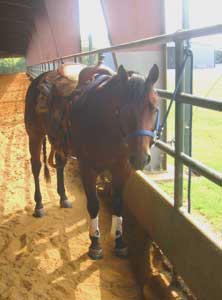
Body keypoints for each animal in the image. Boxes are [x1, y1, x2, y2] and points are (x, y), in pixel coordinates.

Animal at [24, 62, 160, 258]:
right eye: (121, 110)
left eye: (154, 108)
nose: (141, 158)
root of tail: (39, 80)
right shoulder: (88, 168)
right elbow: (94, 204)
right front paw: (95, 243)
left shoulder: (122, 169)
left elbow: (118, 204)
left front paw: (120, 242)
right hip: (34, 135)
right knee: (36, 167)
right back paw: (39, 205)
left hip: (59, 142)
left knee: (59, 165)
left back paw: (63, 197)